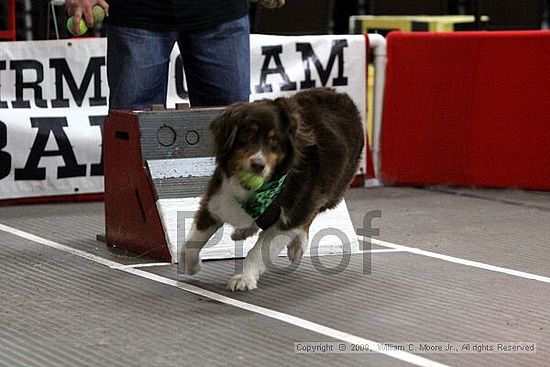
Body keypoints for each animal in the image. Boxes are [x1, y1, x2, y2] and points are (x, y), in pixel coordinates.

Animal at [179, 87, 364, 292]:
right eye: (247, 135)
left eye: (274, 140)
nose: (258, 165)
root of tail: (340, 95)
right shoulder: (216, 200)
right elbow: (190, 242)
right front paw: (191, 265)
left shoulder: (289, 217)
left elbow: (257, 252)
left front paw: (244, 278)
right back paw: (244, 230)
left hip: (331, 190)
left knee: (310, 215)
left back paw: (297, 245)